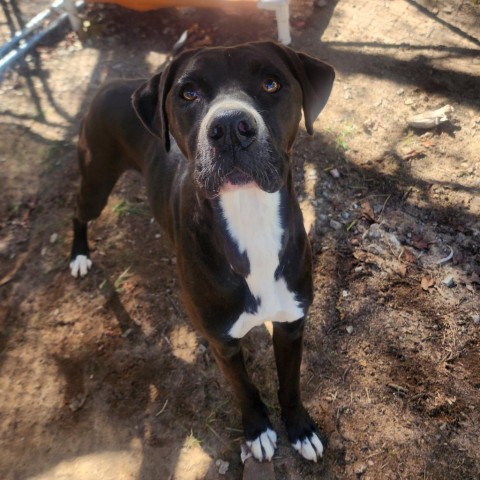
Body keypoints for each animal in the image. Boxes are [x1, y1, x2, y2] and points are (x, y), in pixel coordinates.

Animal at [70, 43, 334, 464]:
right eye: (189, 93)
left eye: (271, 83)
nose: (230, 127)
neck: (250, 219)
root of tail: (112, 82)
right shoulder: (221, 343)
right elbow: (244, 388)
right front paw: (257, 430)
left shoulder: (292, 324)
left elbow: (291, 383)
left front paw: (300, 429)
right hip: (97, 179)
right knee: (78, 212)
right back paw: (78, 255)